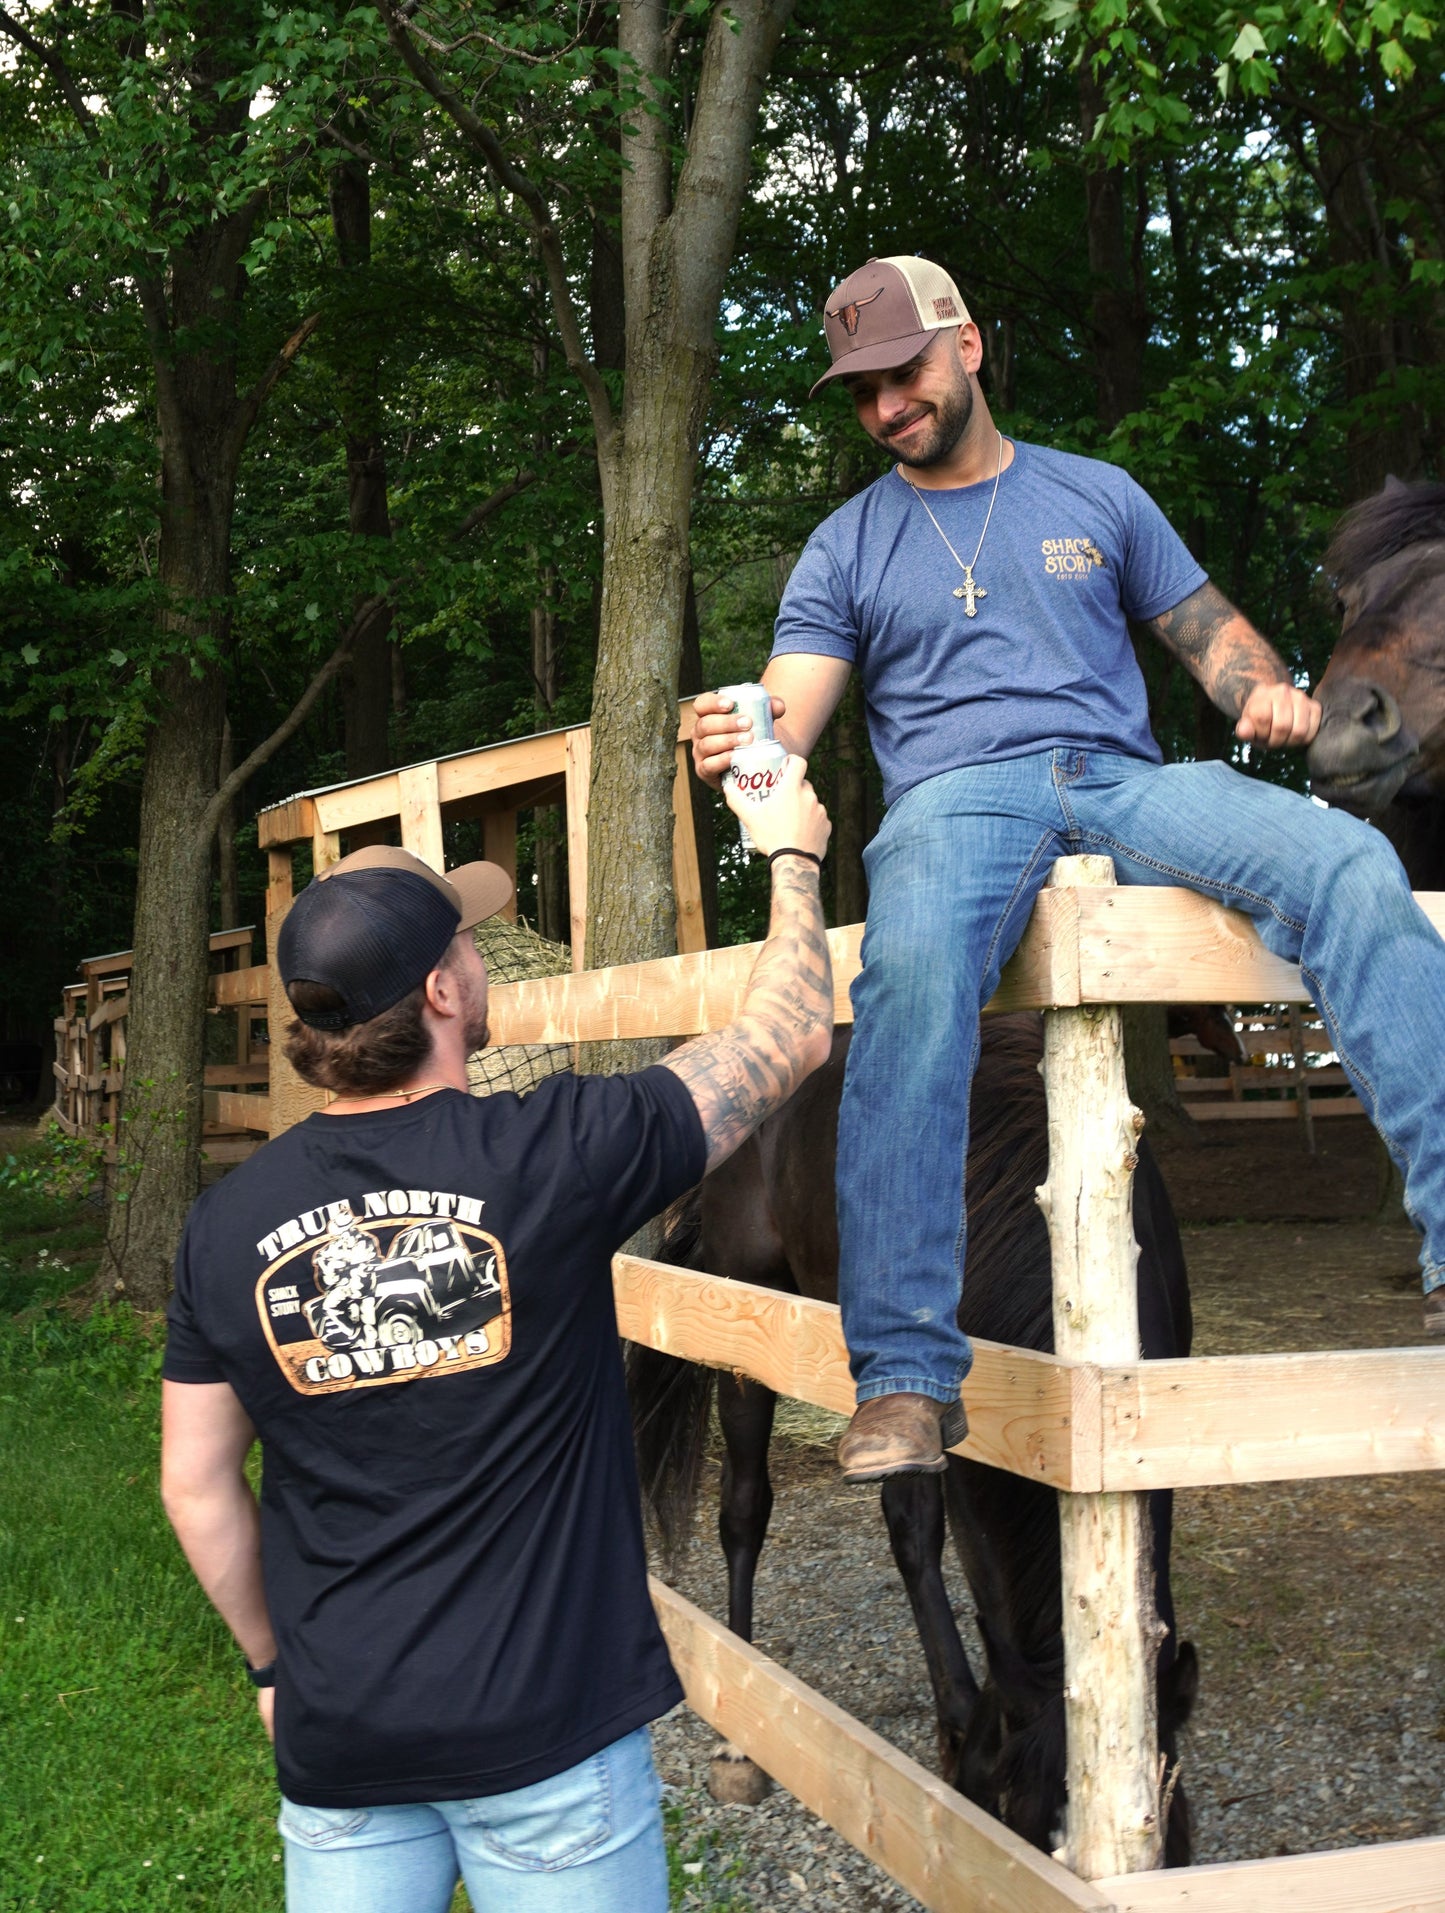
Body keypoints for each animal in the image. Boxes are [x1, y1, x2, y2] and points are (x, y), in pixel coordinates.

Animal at [631, 1017, 1201, 1867]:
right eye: (1022, 1837)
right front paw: (960, 1723)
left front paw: (958, 1720)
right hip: (745, 1323)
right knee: (745, 1506)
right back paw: (740, 1733)